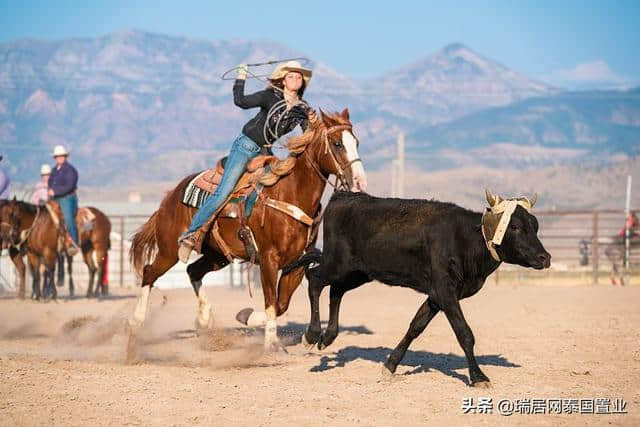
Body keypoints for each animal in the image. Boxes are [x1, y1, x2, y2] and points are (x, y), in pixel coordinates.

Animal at [127, 110, 368, 352]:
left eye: (356, 142)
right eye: (337, 144)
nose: (359, 181)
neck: (289, 193)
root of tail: (171, 195)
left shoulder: (297, 263)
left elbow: (281, 304)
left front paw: (247, 317)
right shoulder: (269, 259)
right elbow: (271, 301)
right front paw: (270, 343)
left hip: (218, 255)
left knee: (193, 271)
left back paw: (203, 320)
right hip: (169, 250)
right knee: (149, 272)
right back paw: (135, 323)